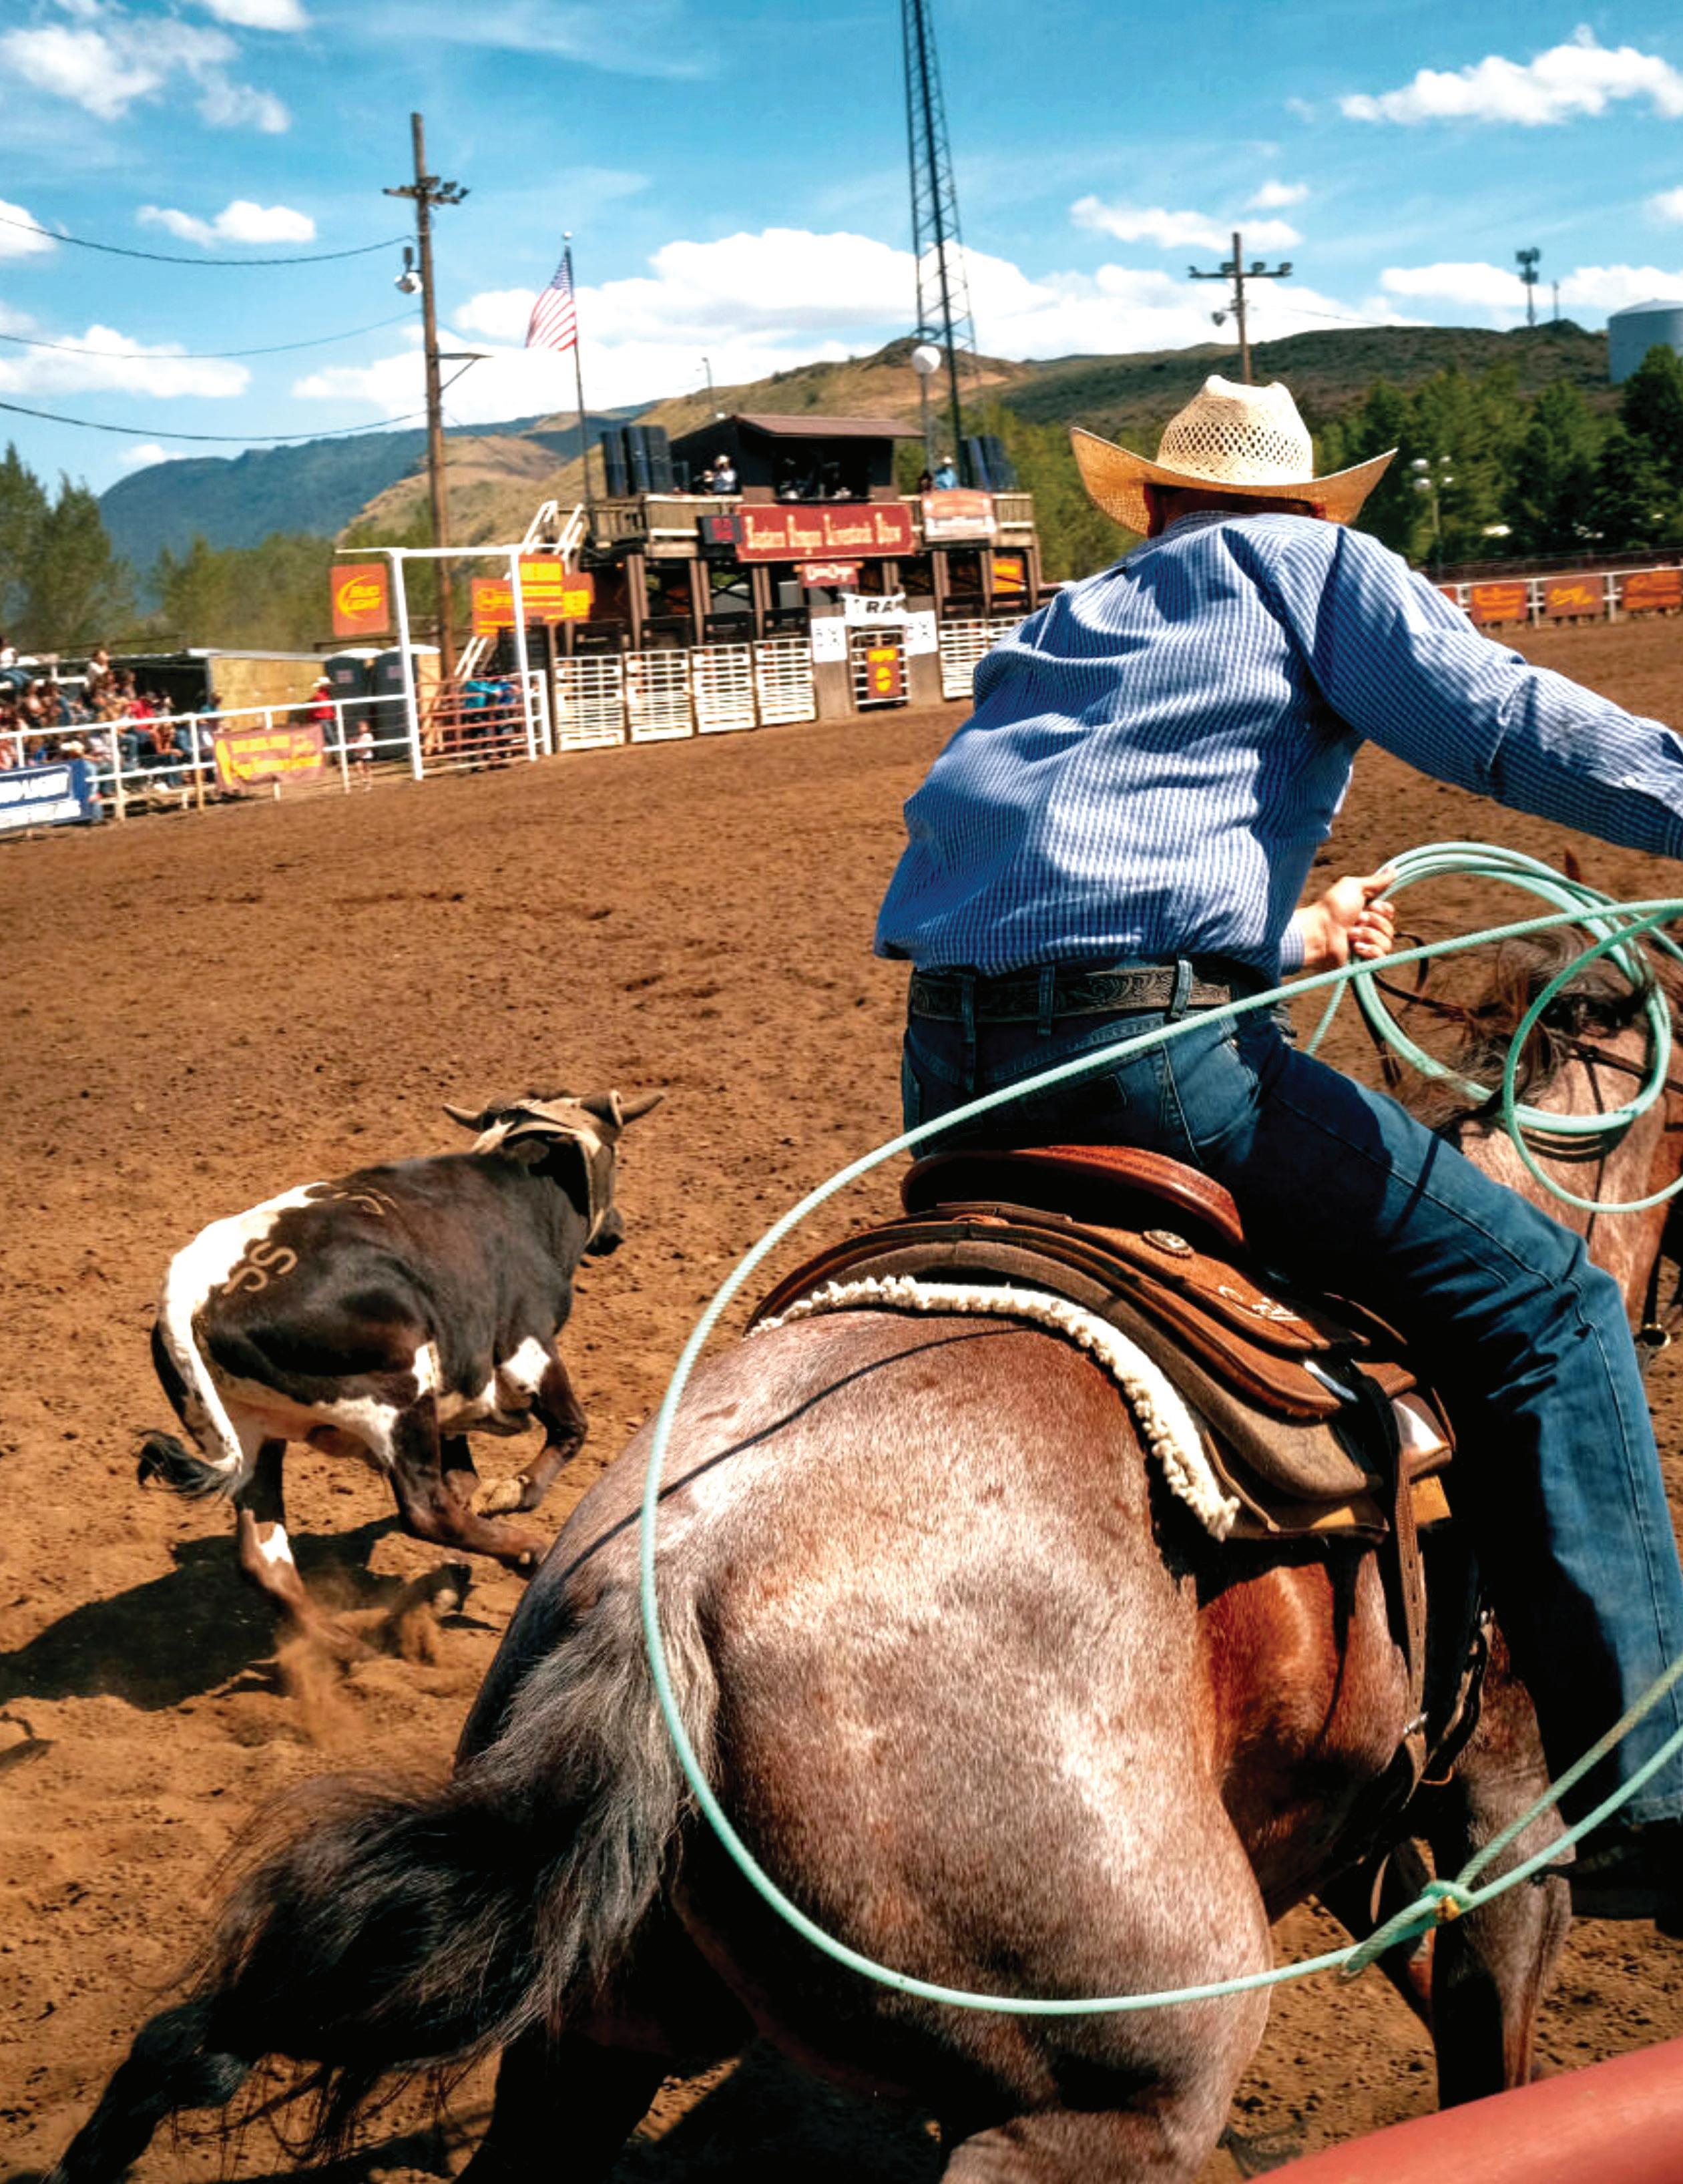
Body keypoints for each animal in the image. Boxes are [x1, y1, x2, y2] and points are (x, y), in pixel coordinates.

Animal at [136, 1087, 662, 1659]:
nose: (616, 1229)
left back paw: (345, 1644)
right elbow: (569, 1429)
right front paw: (512, 1492)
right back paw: (527, 1552)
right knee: (426, 1510)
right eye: (616, 1158)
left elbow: (465, 1477)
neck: (520, 1197)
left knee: (263, 1556)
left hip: (256, 1435)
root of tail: (193, 1287)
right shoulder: (527, 1347)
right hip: (395, 1396)